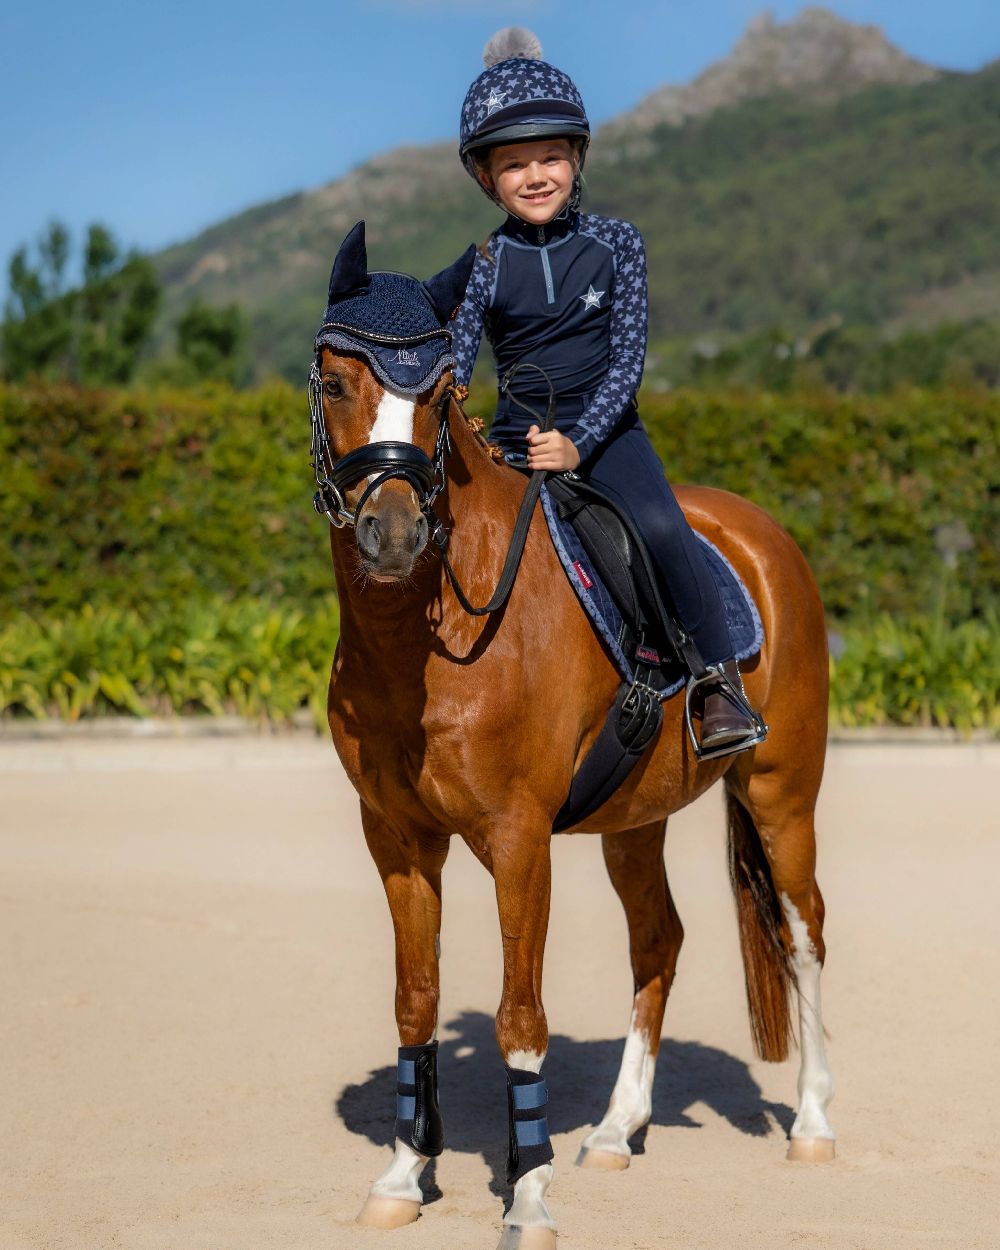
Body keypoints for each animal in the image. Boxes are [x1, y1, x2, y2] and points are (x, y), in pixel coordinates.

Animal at [316, 236, 830, 1250]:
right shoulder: (396, 839)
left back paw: (816, 1124)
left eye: (441, 390)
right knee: (659, 940)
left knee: (806, 933)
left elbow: (520, 1017)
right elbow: (414, 999)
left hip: (781, 796)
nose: (392, 534)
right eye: (333, 379)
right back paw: (616, 1130)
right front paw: (402, 1175)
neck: (428, 639)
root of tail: (764, 534)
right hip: (635, 822)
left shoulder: (518, 840)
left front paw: (528, 1195)